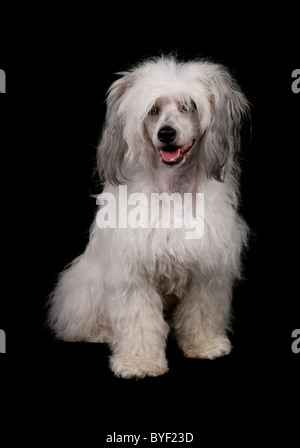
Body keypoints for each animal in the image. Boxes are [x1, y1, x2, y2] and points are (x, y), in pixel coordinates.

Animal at [49, 55, 250, 378]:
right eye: (153, 110)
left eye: (189, 105)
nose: (166, 134)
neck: (171, 192)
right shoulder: (133, 275)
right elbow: (139, 321)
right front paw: (139, 361)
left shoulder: (206, 271)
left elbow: (202, 312)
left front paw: (205, 345)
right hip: (86, 285)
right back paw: (98, 332)